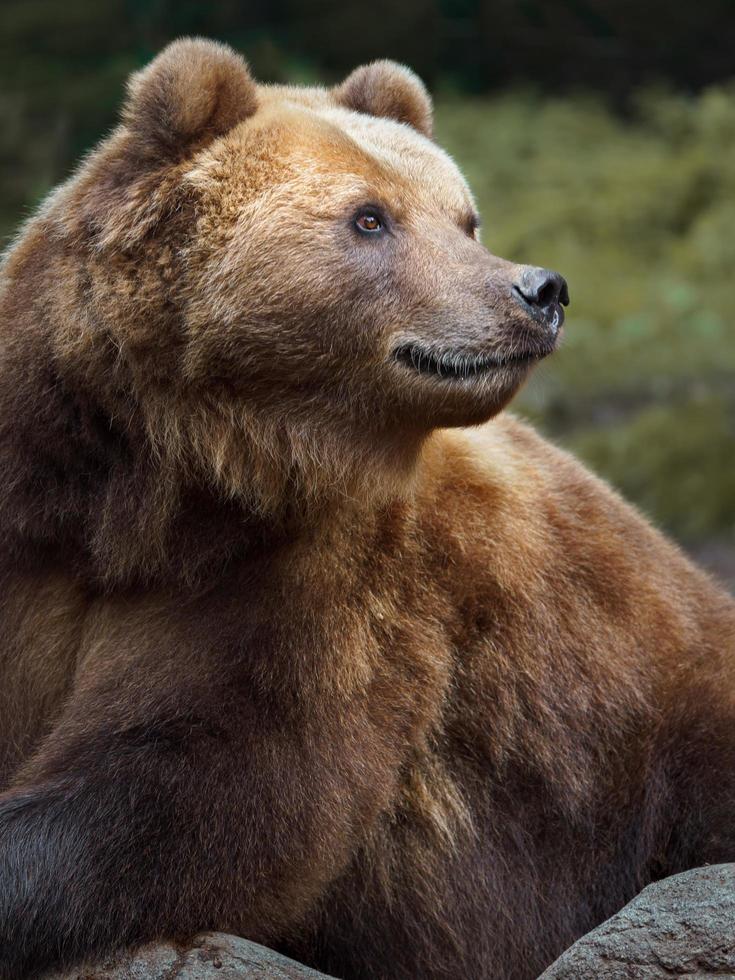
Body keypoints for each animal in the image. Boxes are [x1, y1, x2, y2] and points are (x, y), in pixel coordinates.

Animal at [1, 36, 735, 980]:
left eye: (463, 218)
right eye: (369, 218)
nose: (539, 290)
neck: (145, 493)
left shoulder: (313, 581)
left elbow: (207, 780)